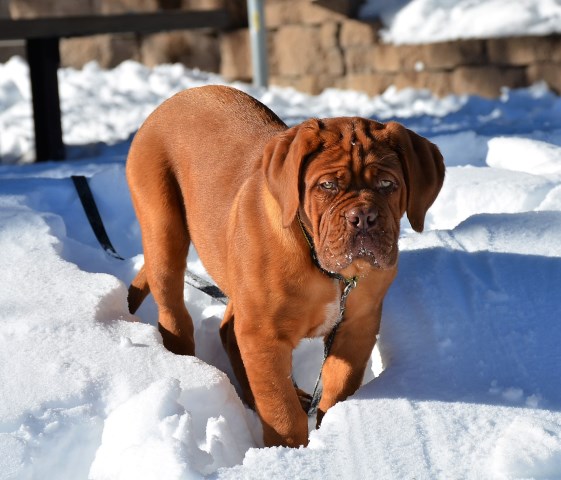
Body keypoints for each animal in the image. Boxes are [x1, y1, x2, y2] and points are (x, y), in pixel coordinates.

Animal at [124, 84, 444, 448]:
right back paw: (182, 363)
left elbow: (339, 386)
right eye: (328, 186)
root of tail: (172, 101)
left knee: (227, 327)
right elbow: (280, 407)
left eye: (388, 185)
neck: (326, 269)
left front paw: (332, 428)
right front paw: (286, 450)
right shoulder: (263, 335)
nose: (362, 217)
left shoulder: (357, 326)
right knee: (173, 310)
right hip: (163, 231)